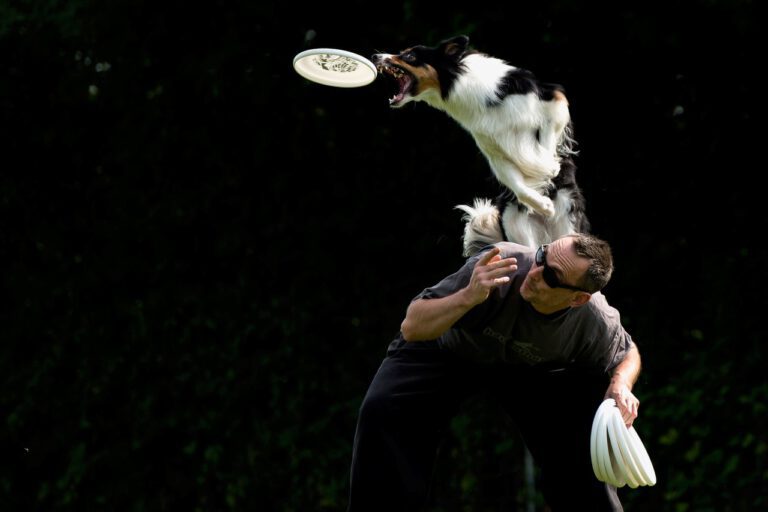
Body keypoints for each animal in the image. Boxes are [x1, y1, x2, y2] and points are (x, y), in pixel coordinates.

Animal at [370, 34, 588, 254]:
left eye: (410, 56)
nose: (375, 56)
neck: (462, 83)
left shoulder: (554, 99)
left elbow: (545, 142)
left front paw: (550, 167)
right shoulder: (494, 151)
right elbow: (519, 187)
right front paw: (543, 204)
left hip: (567, 219)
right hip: (515, 223)